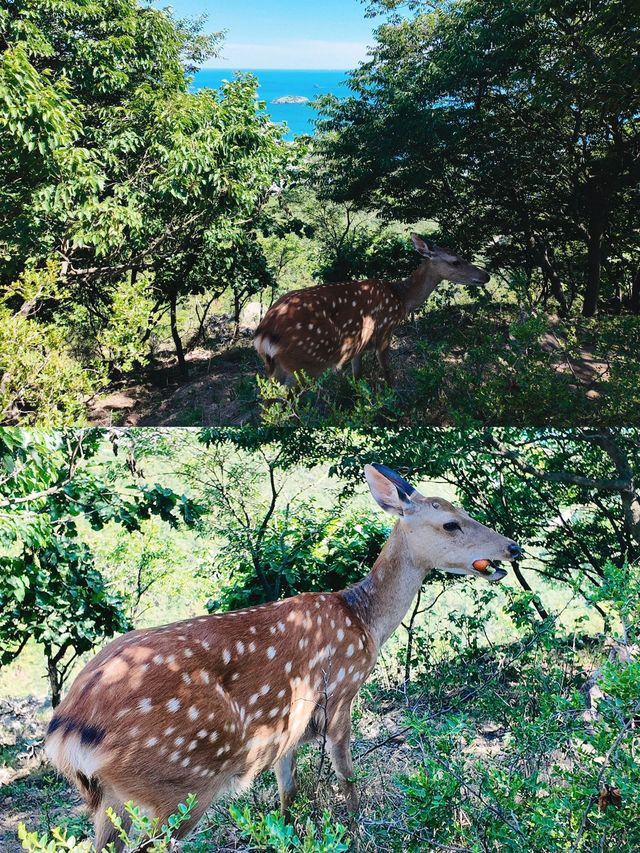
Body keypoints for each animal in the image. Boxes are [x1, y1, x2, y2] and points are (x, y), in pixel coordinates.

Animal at [47, 462, 524, 848]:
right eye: (450, 523)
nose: (513, 548)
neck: (363, 622)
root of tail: (66, 732)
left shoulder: (287, 725)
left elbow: (287, 792)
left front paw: (288, 832)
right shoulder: (341, 695)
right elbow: (347, 778)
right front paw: (357, 831)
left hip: (109, 800)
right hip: (182, 781)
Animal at [254, 231, 490, 382]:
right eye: (455, 261)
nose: (485, 276)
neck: (401, 297)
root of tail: (264, 333)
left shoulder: (357, 344)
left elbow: (358, 377)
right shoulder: (384, 331)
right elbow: (387, 372)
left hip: (275, 369)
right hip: (307, 363)